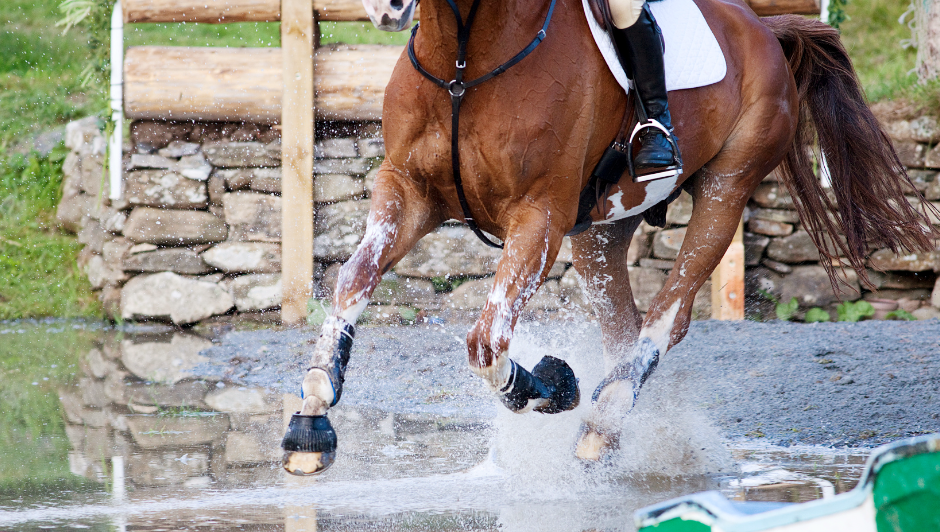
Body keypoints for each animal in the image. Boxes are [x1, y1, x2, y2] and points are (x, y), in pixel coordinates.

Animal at [280, 0, 938, 474]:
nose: (388, 9)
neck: (464, 59)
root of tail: (762, 25)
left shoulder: (539, 217)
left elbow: (487, 340)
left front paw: (548, 385)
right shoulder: (407, 191)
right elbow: (354, 279)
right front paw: (313, 411)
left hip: (727, 190)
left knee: (667, 315)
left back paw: (604, 424)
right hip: (601, 232)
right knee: (622, 324)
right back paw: (619, 424)